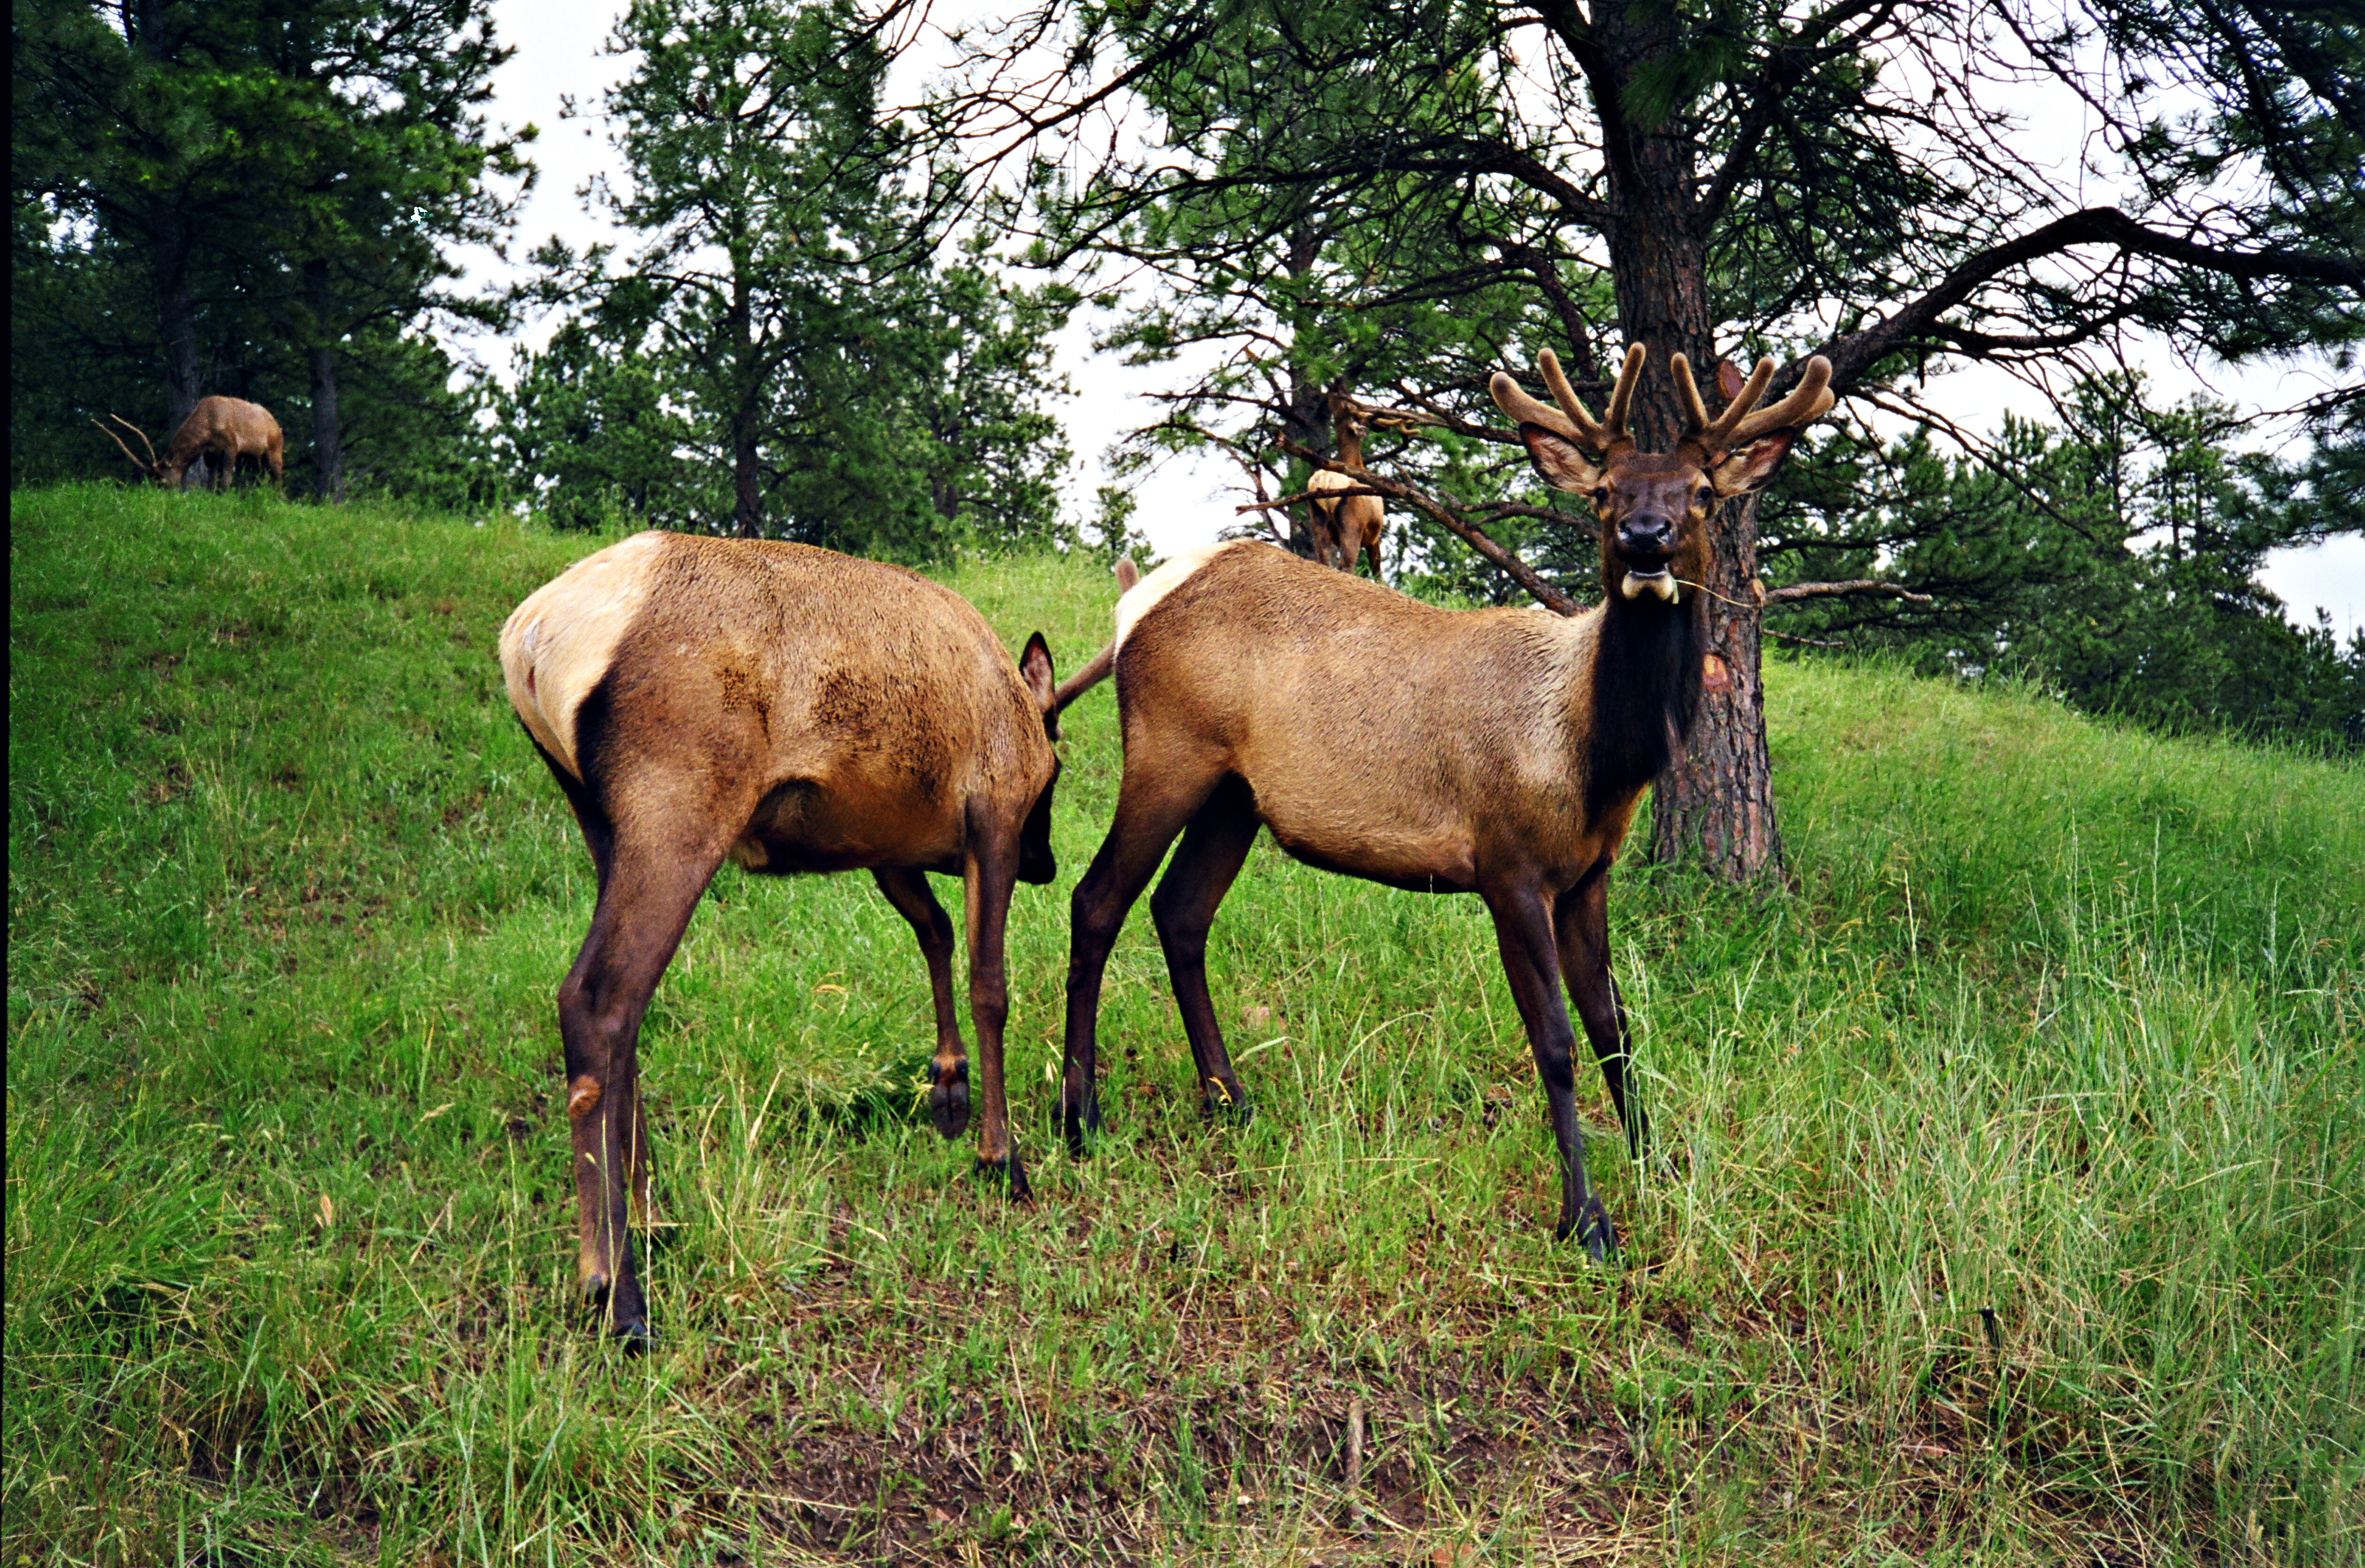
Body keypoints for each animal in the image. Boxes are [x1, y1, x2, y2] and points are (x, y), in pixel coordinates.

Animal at [94, 396, 285, 491]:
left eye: (163, 482)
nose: (156, 495)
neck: (208, 426)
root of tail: (277, 425)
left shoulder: (232, 446)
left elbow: (226, 478)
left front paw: (224, 495)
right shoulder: (210, 452)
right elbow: (211, 478)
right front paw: (211, 495)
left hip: (275, 449)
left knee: (278, 474)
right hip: (255, 458)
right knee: (264, 476)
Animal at [500, 531, 1096, 1345]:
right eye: (1055, 772)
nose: (1045, 863)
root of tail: (530, 638)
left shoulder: (884, 842)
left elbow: (935, 933)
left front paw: (948, 1085)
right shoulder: (992, 809)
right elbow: (989, 985)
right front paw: (1000, 1156)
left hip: (599, 818)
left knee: (623, 1014)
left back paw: (654, 1220)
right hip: (678, 795)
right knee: (596, 999)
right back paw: (615, 1289)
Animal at [1055, 343, 1834, 1257]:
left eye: (1702, 492)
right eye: (1604, 491)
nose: (1646, 538)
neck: (1591, 758)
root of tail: (1135, 602)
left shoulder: (1588, 873)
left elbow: (1615, 1027)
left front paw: (1659, 1165)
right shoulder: (1507, 863)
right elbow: (1556, 1041)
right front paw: (1586, 1218)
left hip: (1234, 794)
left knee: (1179, 910)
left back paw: (1229, 1099)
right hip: (1166, 750)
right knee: (1096, 899)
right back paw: (1079, 1115)